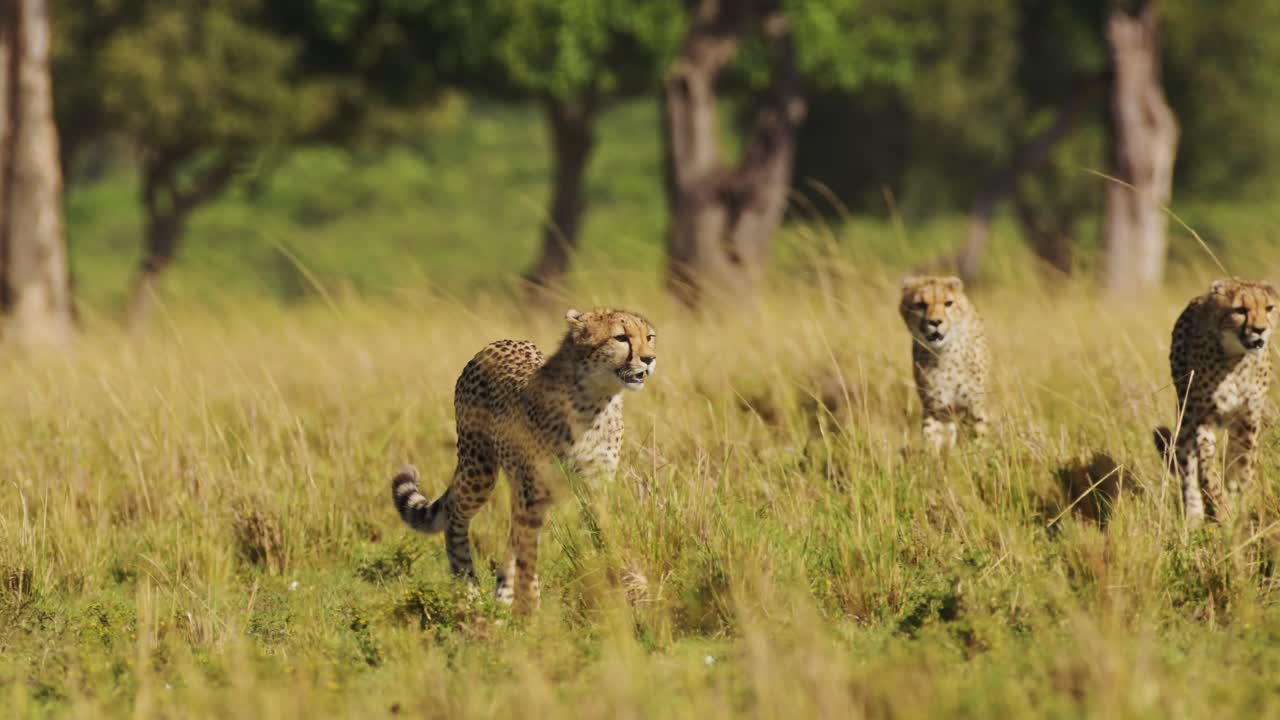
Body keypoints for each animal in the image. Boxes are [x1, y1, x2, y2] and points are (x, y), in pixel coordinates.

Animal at [391, 308, 657, 612]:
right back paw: (467, 586)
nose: (649, 359)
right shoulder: (534, 492)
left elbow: (607, 538)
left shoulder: (595, 489)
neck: (596, 400)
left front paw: (630, 589)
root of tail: (498, 342)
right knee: (456, 515)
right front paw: (530, 610)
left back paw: (503, 594)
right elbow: (529, 556)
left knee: (511, 530)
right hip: (480, 469)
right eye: (621, 338)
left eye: (649, 337)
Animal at [899, 275, 992, 453]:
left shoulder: (974, 406)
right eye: (921, 304)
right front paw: (932, 459)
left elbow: (978, 438)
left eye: (948, 303)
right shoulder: (936, 408)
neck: (944, 353)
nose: (935, 322)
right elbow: (931, 438)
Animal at [1154, 278, 1278, 525]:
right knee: (1188, 467)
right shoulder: (1203, 417)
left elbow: (1243, 461)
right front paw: (1223, 509)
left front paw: (1237, 494)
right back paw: (1193, 516)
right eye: (1241, 310)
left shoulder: (1248, 418)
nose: (1260, 329)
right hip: (1186, 414)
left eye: (1269, 308)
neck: (1236, 360)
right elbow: (1207, 469)